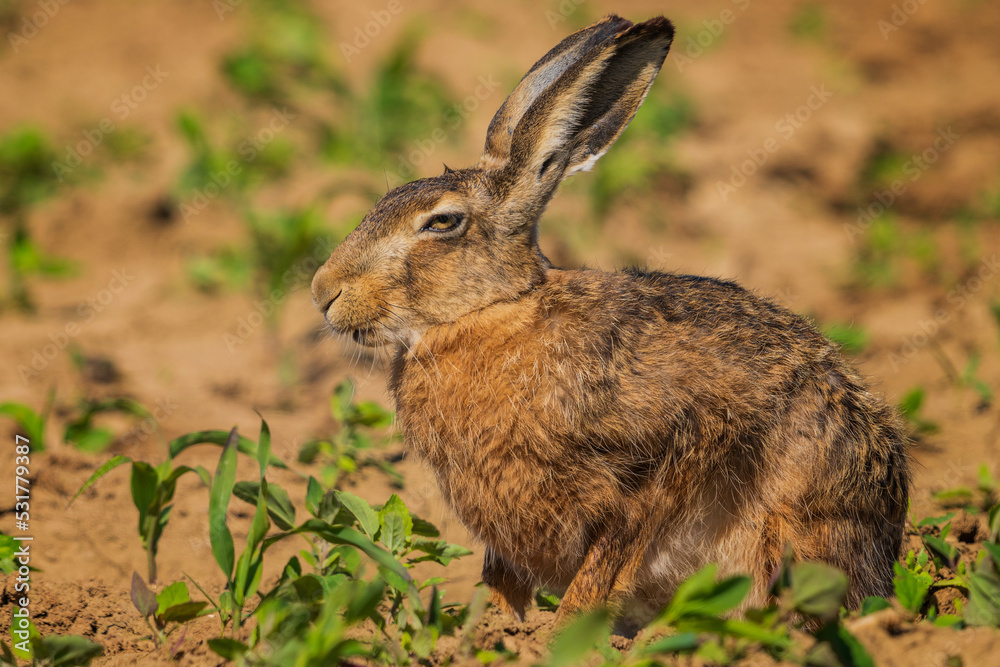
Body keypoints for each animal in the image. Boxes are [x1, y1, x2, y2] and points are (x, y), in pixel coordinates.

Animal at [311, 14, 910, 626]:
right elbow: (502, 580)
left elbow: (603, 566)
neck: (494, 312)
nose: (323, 291)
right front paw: (490, 631)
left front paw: (556, 633)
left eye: (443, 222)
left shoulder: (662, 461)